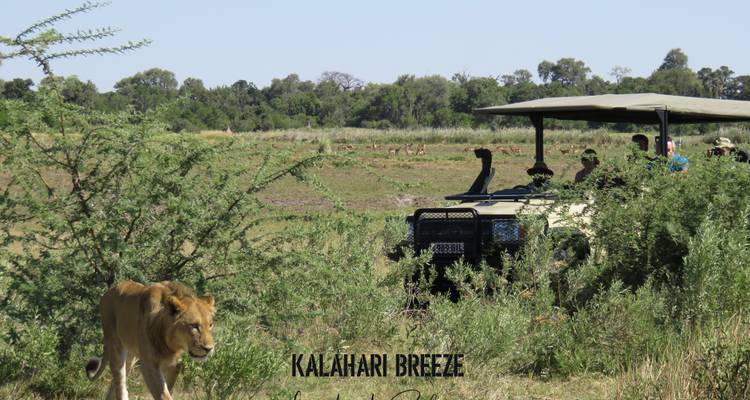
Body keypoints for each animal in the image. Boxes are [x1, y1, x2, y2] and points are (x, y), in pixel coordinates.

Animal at [85, 280, 215, 400]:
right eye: (194, 326)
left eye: (210, 325)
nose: (209, 349)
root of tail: (108, 291)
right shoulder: (149, 364)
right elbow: (163, 395)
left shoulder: (173, 364)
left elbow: (169, 388)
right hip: (116, 347)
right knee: (120, 384)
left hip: (131, 357)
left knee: (114, 386)